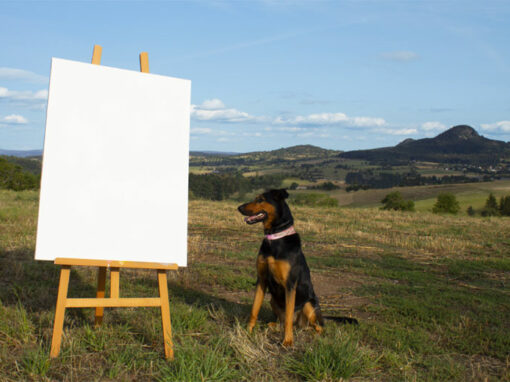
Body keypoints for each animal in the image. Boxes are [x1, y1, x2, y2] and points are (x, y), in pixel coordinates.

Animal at [238, 190, 324, 348]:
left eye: (260, 199)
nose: (239, 208)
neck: (275, 237)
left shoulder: (289, 284)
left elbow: (289, 315)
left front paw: (288, 341)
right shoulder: (261, 280)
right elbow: (254, 309)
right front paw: (248, 331)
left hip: (309, 305)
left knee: (317, 327)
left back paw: (308, 332)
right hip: (272, 300)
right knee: (284, 322)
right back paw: (273, 325)